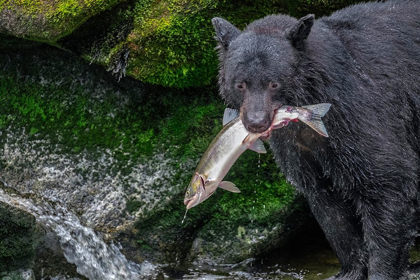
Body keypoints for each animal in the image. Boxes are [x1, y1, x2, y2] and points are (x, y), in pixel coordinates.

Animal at [212, 1, 420, 278]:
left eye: (274, 83)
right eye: (240, 84)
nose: (256, 121)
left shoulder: (359, 114)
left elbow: (388, 179)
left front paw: (381, 270)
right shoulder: (296, 146)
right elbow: (326, 202)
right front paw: (349, 269)